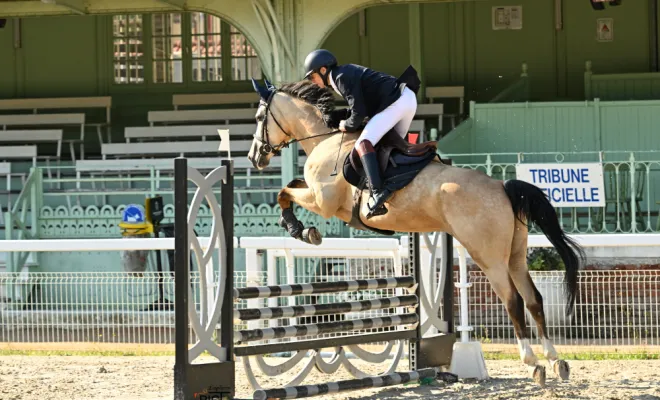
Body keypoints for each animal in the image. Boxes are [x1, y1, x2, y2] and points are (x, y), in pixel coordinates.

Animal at [246, 78, 586, 387]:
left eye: (260, 117)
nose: (254, 157)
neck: (326, 140)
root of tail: (503, 186)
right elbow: (289, 187)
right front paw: (301, 229)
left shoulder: (322, 201)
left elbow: (283, 192)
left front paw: (301, 230)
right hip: (515, 256)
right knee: (534, 299)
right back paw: (555, 360)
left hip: (489, 258)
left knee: (513, 301)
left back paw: (533, 363)